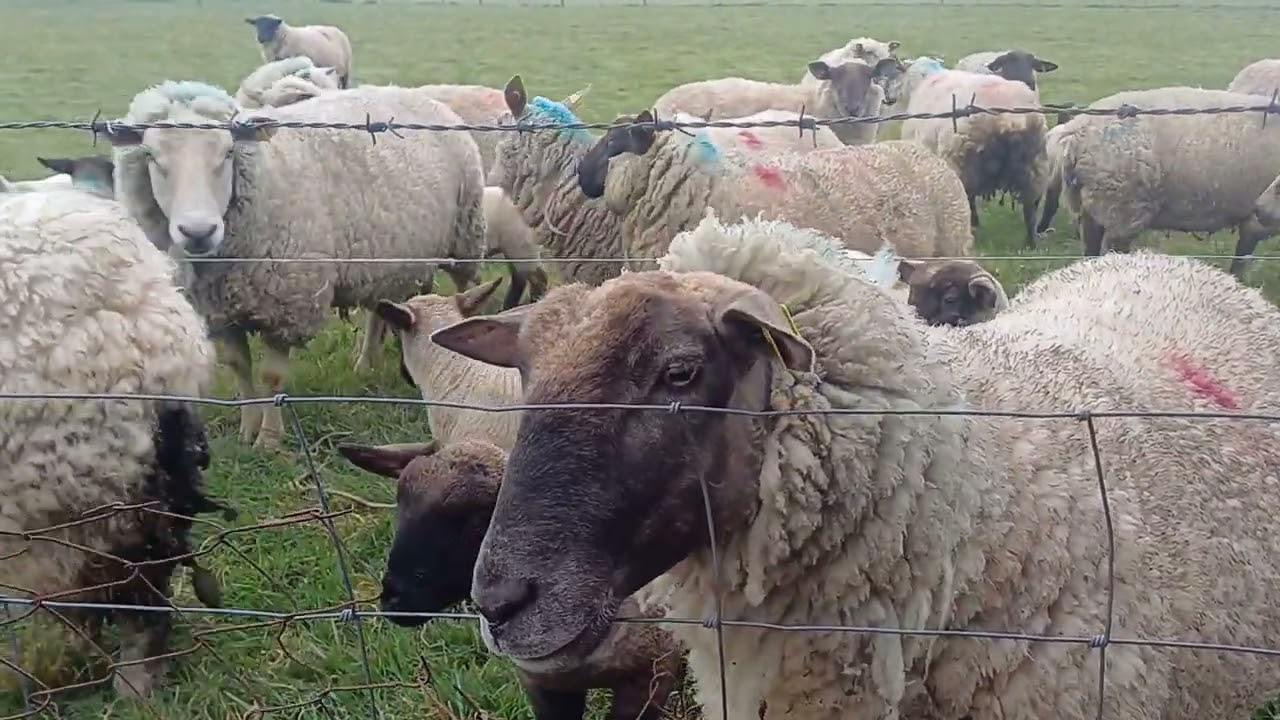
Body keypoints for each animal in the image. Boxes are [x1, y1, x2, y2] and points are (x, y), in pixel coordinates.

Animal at [105, 80, 487, 450]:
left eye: (228, 152)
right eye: (151, 156)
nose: (198, 232)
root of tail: (416, 94)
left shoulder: (287, 302)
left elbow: (272, 377)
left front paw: (270, 440)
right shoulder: (218, 312)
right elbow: (239, 367)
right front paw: (247, 429)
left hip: (465, 237)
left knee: (465, 288)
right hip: (385, 260)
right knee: (378, 311)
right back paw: (365, 364)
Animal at [898, 56, 1051, 247]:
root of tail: (1010, 118)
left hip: (962, 162)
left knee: (967, 199)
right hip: (1035, 165)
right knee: (1030, 208)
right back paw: (1030, 243)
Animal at [1058, 86, 1280, 278]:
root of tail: (1078, 131)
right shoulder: (1257, 220)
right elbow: (1242, 257)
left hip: (1092, 209)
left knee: (1090, 251)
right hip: (1121, 207)